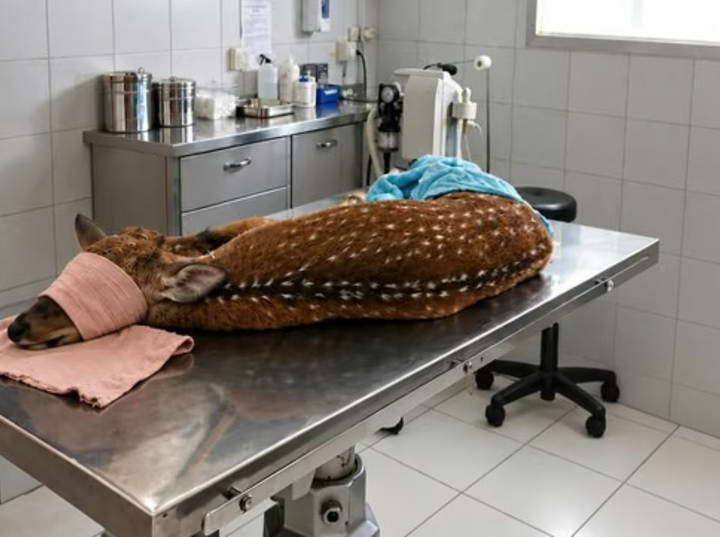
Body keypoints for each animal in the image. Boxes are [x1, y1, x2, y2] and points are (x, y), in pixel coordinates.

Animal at [6, 191, 553, 349]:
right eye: (62, 277)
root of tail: (541, 230)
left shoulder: (254, 228)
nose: (15, 327)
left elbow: (211, 230)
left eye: (89, 298)